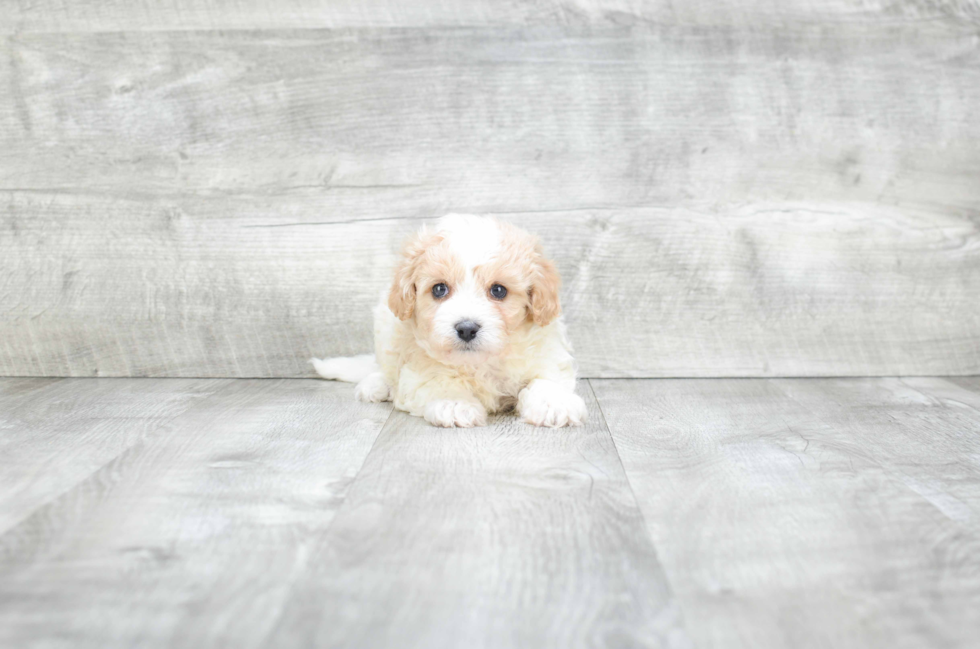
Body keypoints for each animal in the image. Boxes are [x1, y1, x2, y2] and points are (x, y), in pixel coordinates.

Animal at [314, 213, 584, 428]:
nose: (466, 329)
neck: (480, 362)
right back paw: (376, 385)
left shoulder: (545, 350)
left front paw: (553, 404)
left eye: (498, 290)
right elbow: (439, 380)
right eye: (439, 289)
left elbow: (546, 378)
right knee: (384, 368)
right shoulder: (418, 367)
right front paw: (454, 402)